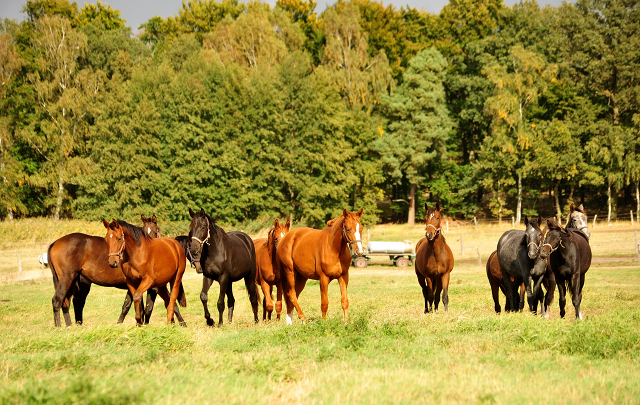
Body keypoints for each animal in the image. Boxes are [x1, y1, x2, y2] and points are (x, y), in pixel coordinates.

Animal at [47, 215, 182, 326]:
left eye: (155, 230)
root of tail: (55, 243)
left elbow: (133, 306)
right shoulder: (149, 286)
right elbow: (164, 304)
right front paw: (181, 323)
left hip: (75, 283)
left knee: (70, 303)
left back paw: (71, 326)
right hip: (66, 279)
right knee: (58, 300)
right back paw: (59, 327)